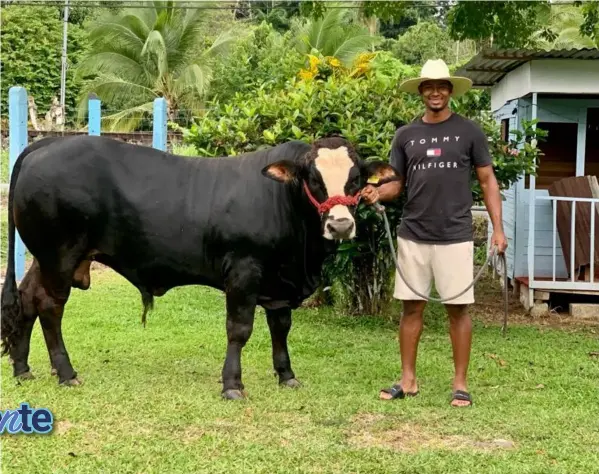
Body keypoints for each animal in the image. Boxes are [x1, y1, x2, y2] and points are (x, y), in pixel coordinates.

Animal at [3, 134, 404, 400]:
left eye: (356, 178)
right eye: (313, 178)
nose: (340, 225)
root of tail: (48, 143)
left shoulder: (279, 284)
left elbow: (281, 327)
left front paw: (286, 374)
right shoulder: (244, 272)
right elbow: (239, 330)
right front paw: (233, 385)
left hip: (46, 258)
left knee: (27, 299)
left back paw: (23, 369)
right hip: (60, 255)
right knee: (50, 308)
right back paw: (66, 373)